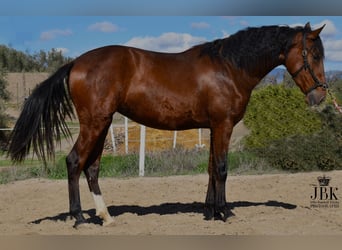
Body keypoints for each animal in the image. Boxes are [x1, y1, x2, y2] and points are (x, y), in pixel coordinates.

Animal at [8, 22, 328, 228]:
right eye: (314, 55)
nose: (321, 96)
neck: (229, 68)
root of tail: (76, 63)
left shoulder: (212, 128)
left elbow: (211, 169)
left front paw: (210, 212)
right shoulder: (223, 125)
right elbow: (222, 168)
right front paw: (225, 212)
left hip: (102, 123)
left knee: (92, 168)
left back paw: (106, 216)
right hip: (94, 124)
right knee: (75, 162)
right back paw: (78, 218)